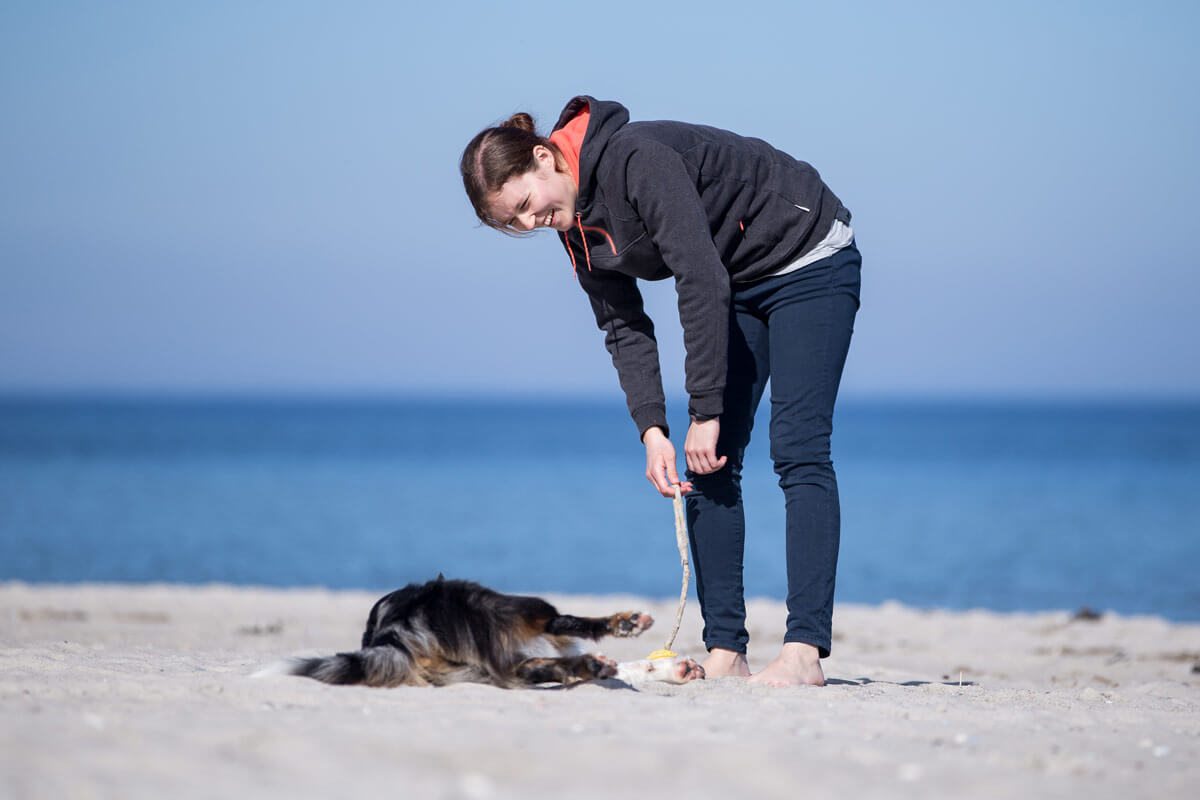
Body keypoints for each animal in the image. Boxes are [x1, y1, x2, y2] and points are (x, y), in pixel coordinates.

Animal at [255, 575, 700, 690]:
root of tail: (389, 630)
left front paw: (670, 670)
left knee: (537, 666)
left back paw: (594, 663)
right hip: (504, 602)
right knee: (557, 622)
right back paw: (622, 625)